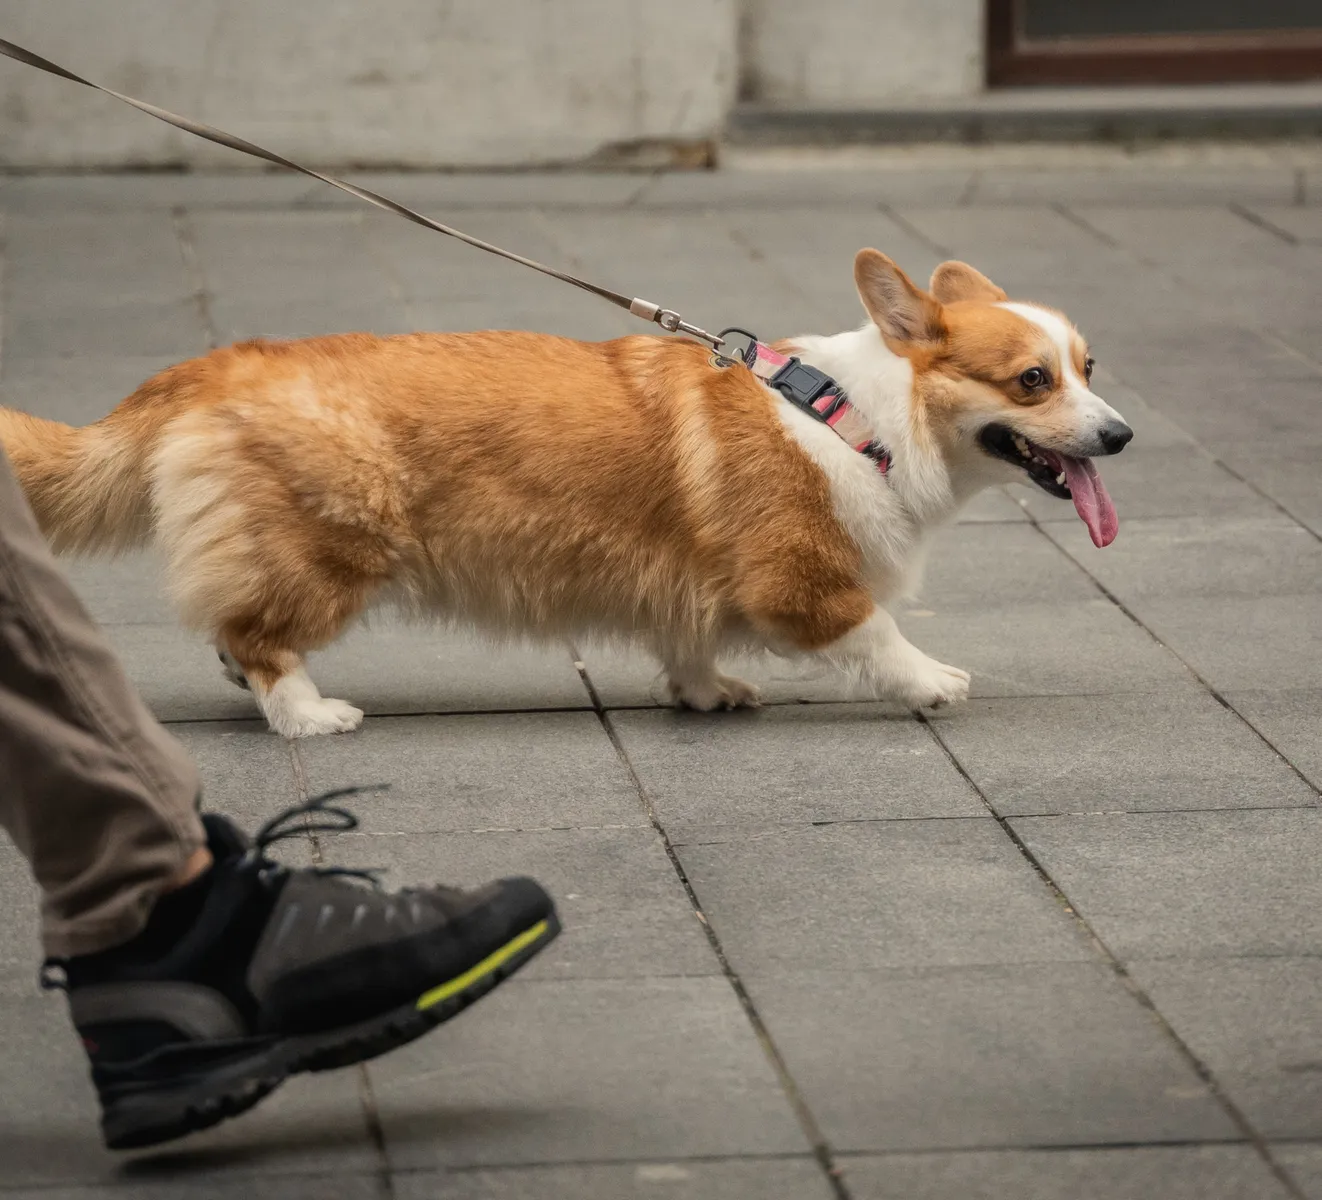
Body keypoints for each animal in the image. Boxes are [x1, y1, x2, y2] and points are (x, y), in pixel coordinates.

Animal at [0, 253, 1136, 734]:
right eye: (1031, 381)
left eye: (1089, 366)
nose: (1120, 436)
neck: (852, 419)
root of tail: (202, 369)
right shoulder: (799, 580)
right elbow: (876, 633)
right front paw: (931, 682)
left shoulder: (691, 580)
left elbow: (689, 640)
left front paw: (705, 693)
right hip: (333, 551)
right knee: (260, 636)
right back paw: (309, 716)